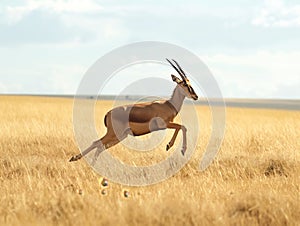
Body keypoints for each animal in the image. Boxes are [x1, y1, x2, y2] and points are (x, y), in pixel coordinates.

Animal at [69, 59, 198, 163]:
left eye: (189, 83)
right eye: (185, 84)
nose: (195, 96)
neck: (168, 104)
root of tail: (108, 114)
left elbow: (181, 127)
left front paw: (170, 146)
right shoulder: (164, 125)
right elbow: (182, 127)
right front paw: (175, 148)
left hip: (120, 136)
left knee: (101, 147)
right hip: (113, 134)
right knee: (96, 143)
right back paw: (75, 159)